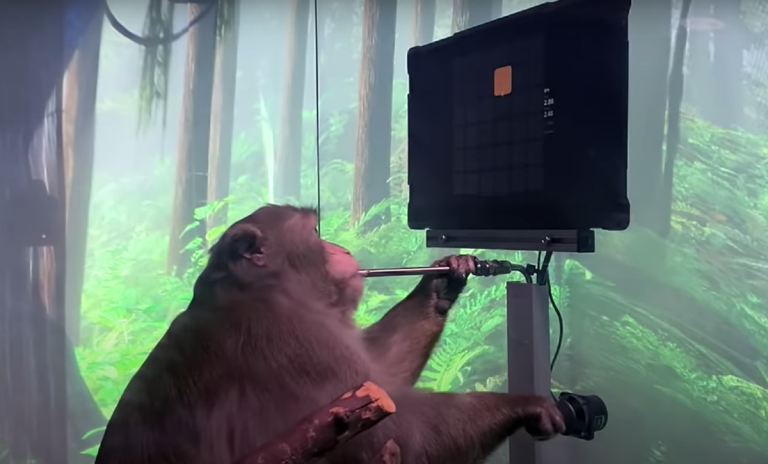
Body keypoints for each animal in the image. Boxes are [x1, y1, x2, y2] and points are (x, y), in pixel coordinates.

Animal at [94, 204, 565, 464]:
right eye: (316, 232)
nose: (342, 247)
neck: (265, 289)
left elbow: (380, 376)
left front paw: (442, 281)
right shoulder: (293, 342)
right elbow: (400, 433)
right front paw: (523, 404)